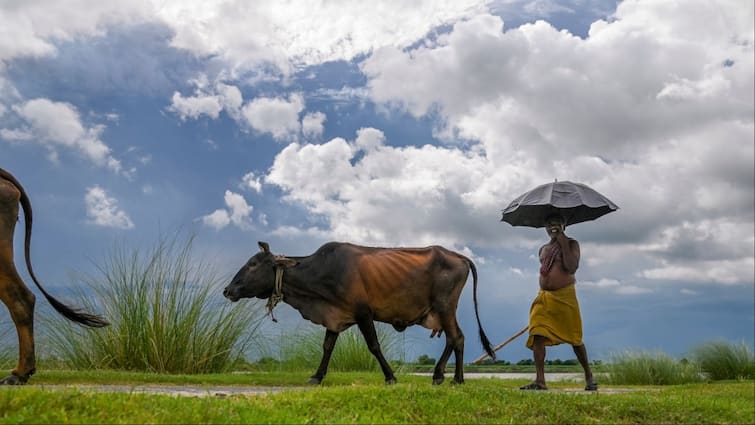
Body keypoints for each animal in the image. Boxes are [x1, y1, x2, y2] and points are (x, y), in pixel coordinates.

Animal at [223, 240, 496, 382]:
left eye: (253, 264)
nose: (228, 290)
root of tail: (458, 256)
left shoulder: (364, 312)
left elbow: (373, 345)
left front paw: (390, 376)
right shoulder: (335, 316)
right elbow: (327, 347)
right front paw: (317, 376)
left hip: (444, 305)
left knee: (456, 337)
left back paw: (449, 377)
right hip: (443, 310)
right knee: (455, 338)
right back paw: (448, 376)